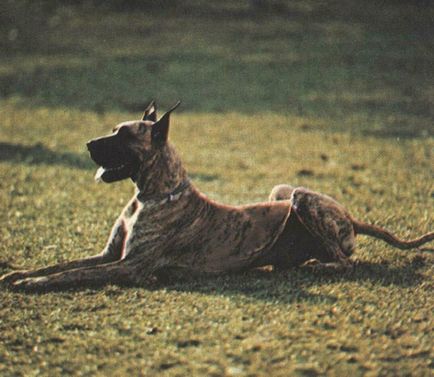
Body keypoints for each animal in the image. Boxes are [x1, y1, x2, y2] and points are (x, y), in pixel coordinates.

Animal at [0, 101, 434, 290]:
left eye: (123, 136)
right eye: (112, 129)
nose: (88, 144)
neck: (153, 194)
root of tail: (351, 216)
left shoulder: (129, 266)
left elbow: (72, 274)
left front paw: (31, 284)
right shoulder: (109, 256)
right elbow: (63, 264)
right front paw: (19, 273)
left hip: (301, 198)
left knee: (347, 262)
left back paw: (322, 267)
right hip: (282, 191)